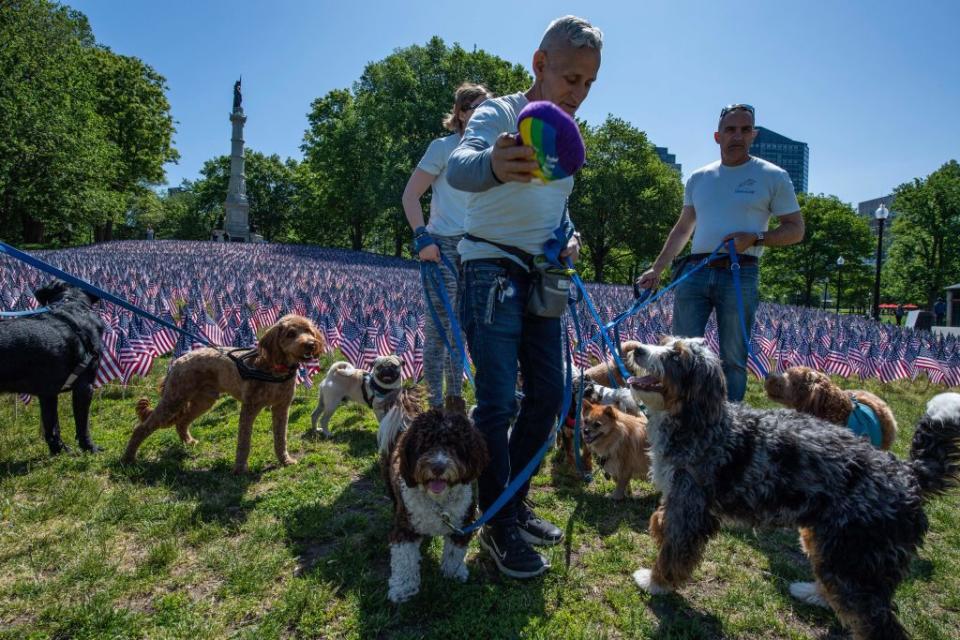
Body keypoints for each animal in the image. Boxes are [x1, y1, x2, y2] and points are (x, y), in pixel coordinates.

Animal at [0, 280, 105, 456]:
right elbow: (82, 425)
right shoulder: (84, 387)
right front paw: (90, 447)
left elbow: (52, 426)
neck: (71, 303)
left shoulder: (47, 394)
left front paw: (58, 450)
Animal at [120, 314, 320, 470]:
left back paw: (188, 442)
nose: (311, 344)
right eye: (291, 333)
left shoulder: (281, 408)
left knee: (182, 421)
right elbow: (244, 442)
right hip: (174, 400)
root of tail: (177, 362)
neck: (275, 369)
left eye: (309, 331)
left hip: (203, 401)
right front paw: (240, 468)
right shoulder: (249, 408)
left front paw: (285, 460)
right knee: (142, 428)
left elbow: (281, 438)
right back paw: (128, 458)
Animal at [380, 408, 488, 604]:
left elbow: (454, 552)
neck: (438, 502)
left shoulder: (462, 524)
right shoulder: (405, 528)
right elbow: (405, 559)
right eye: (425, 445)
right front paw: (403, 588)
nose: (438, 467)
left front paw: (453, 572)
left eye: (455, 446)